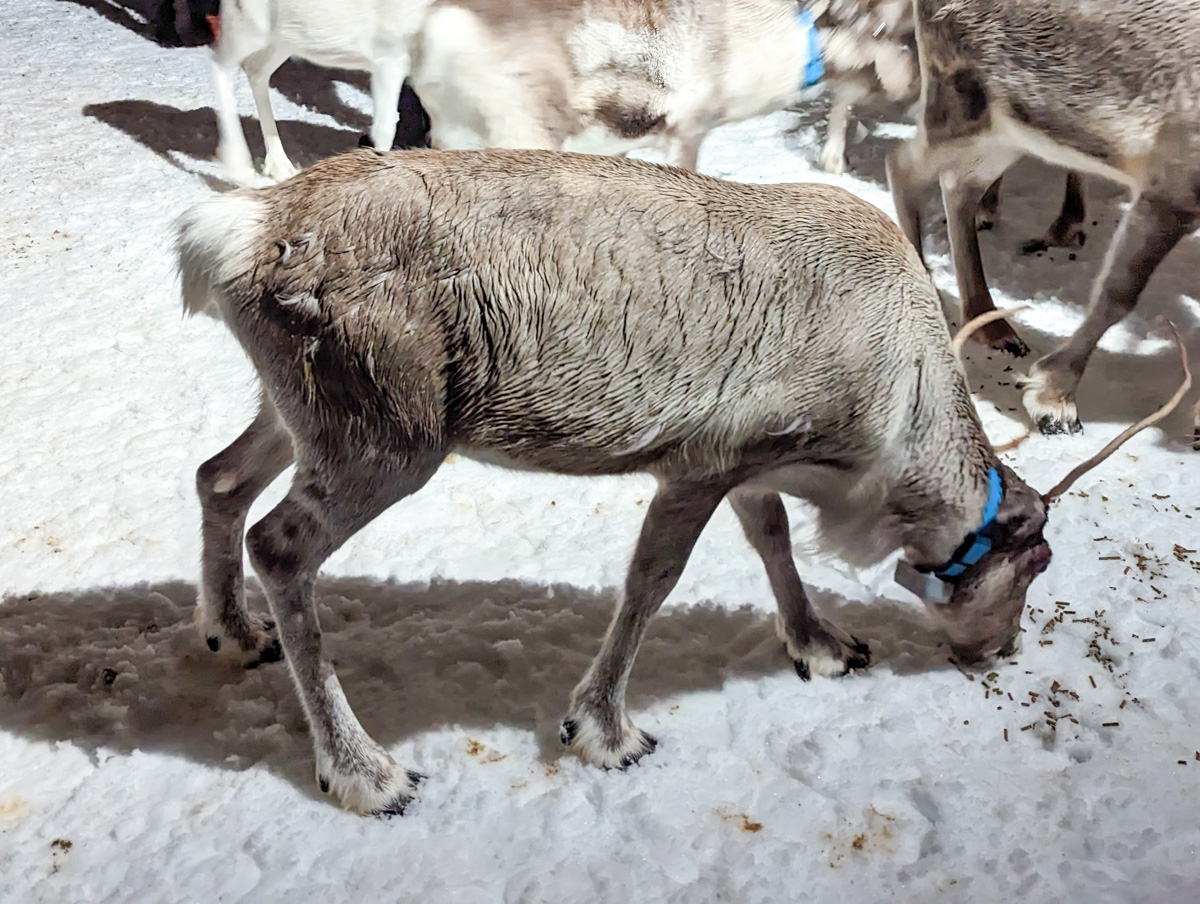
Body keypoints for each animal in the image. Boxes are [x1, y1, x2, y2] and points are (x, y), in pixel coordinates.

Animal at [175, 148, 1188, 816]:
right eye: (1037, 563)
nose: (997, 652)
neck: (884, 440)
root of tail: (232, 232)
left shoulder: (754, 461)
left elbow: (772, 541)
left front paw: (822, 645)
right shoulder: (700, 463)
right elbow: (652, 582)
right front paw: (605, 730)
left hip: (301, 411)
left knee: (220, 477)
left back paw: (233, 632)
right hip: (387, 435)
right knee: (281, 542)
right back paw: (364, 771)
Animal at [887, 0, 1200, 434]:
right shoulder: (1171, 178)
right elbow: (1118, 293)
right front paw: (1053, 398)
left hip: (1016, 130)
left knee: (957, 185)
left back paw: (990, 322)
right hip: (965, 101)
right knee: (903, 162)